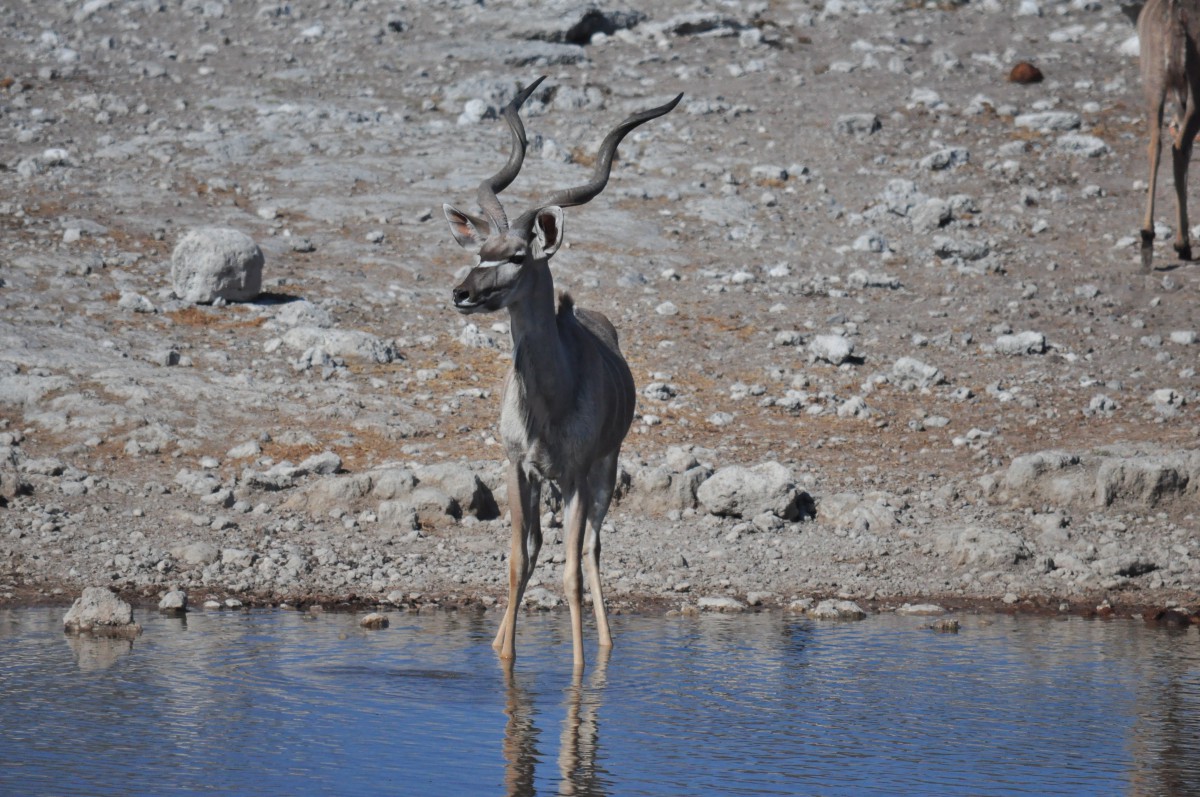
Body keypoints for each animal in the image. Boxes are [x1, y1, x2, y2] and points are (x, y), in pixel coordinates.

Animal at [444, 79, 686, 667]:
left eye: (517, 255)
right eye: (481, 250)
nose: (462, 293)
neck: (549, 405)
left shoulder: (576, 473)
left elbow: (572, 571)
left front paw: (580, 671)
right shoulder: (518, 467)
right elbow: (518, 559)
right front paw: (503, 655)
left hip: (604, 470)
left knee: (593, 548)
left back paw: (604, 646)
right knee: (539, 548)